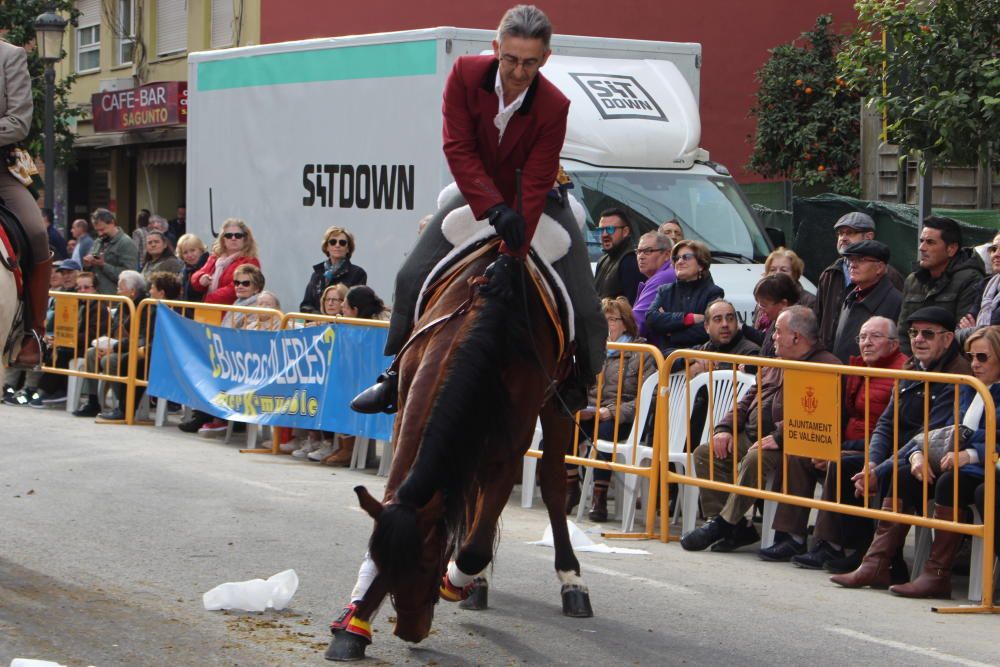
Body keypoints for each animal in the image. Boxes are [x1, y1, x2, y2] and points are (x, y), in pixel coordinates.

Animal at [326, 237, 592, 660]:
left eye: (425, 565)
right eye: (384, 564)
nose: (410, 631)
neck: (482, 332)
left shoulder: (510, 447)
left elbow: (474, 549)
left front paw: (455, 577)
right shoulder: (408, 415)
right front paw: (353, 624)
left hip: (556, 408)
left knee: (551, 485)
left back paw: (570, 580)